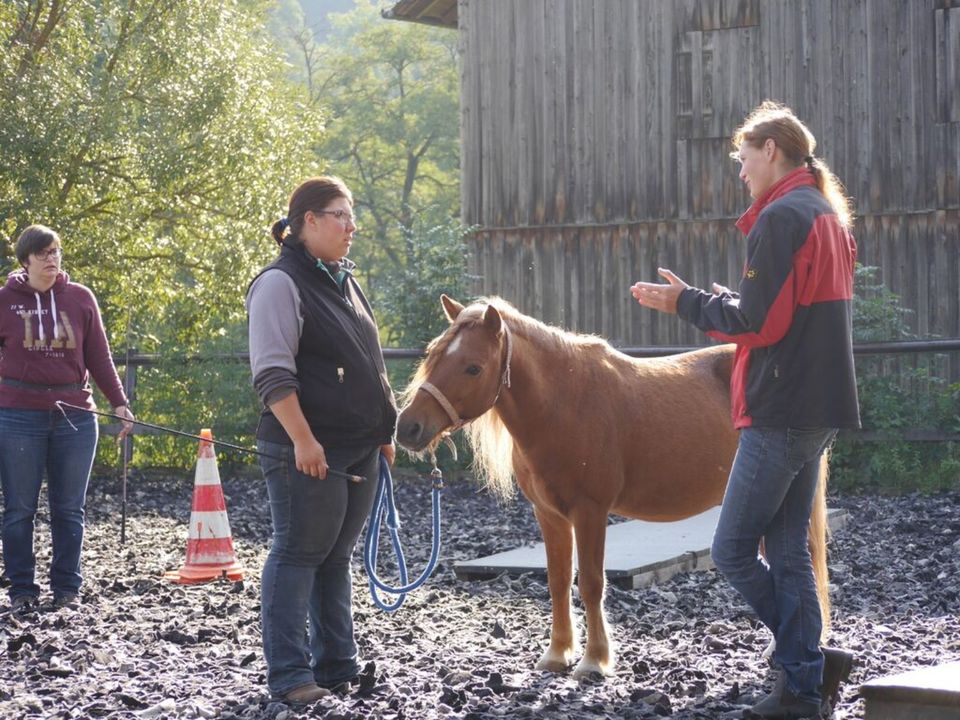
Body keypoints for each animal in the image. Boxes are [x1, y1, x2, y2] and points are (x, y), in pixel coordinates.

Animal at [398, 296, 832, 676]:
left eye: (472, 367)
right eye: (432, 354)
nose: (408, 427)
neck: (564, 404)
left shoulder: (589, 511)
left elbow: (591, 583)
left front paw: (594, 661)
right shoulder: (549, 514)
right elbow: (558, 582)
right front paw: (558, 654)